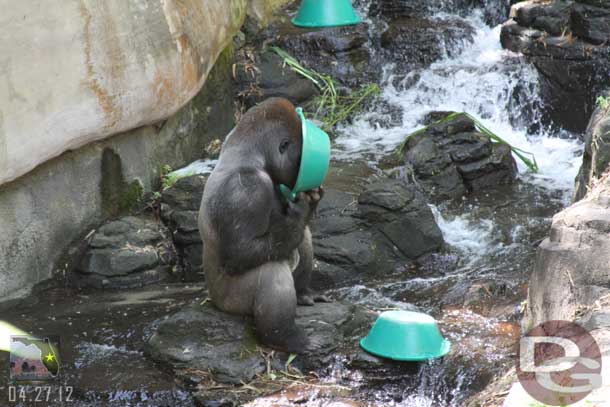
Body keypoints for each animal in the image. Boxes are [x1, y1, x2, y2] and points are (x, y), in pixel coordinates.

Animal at [198, 96, 328, 354]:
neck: (249, 154)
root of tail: (214, 301)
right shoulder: (246, 190)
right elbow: (240, 253)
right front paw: (303, 209)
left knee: (302, 237)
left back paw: (303, 293)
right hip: (230, 303)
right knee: (271, 270)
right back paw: (286, 337)